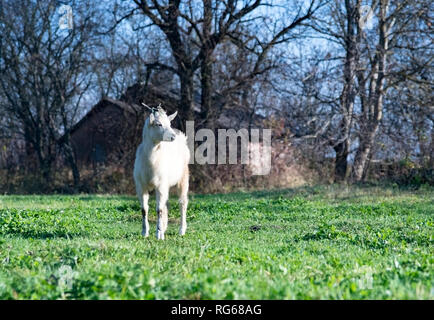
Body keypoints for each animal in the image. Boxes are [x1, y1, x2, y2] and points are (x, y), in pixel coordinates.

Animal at [133, 105, 189, 240]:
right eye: (158, 124)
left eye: (169, 123)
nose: (172, 136)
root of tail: (182, 138)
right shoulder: (141, 186)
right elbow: (144, 209)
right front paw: (145, 232)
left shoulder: (160, 185)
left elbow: (159, 209)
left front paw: (159, 234)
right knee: (166, 203)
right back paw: (164, 226)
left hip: (183, 177)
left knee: (182, 202)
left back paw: (181, 230)